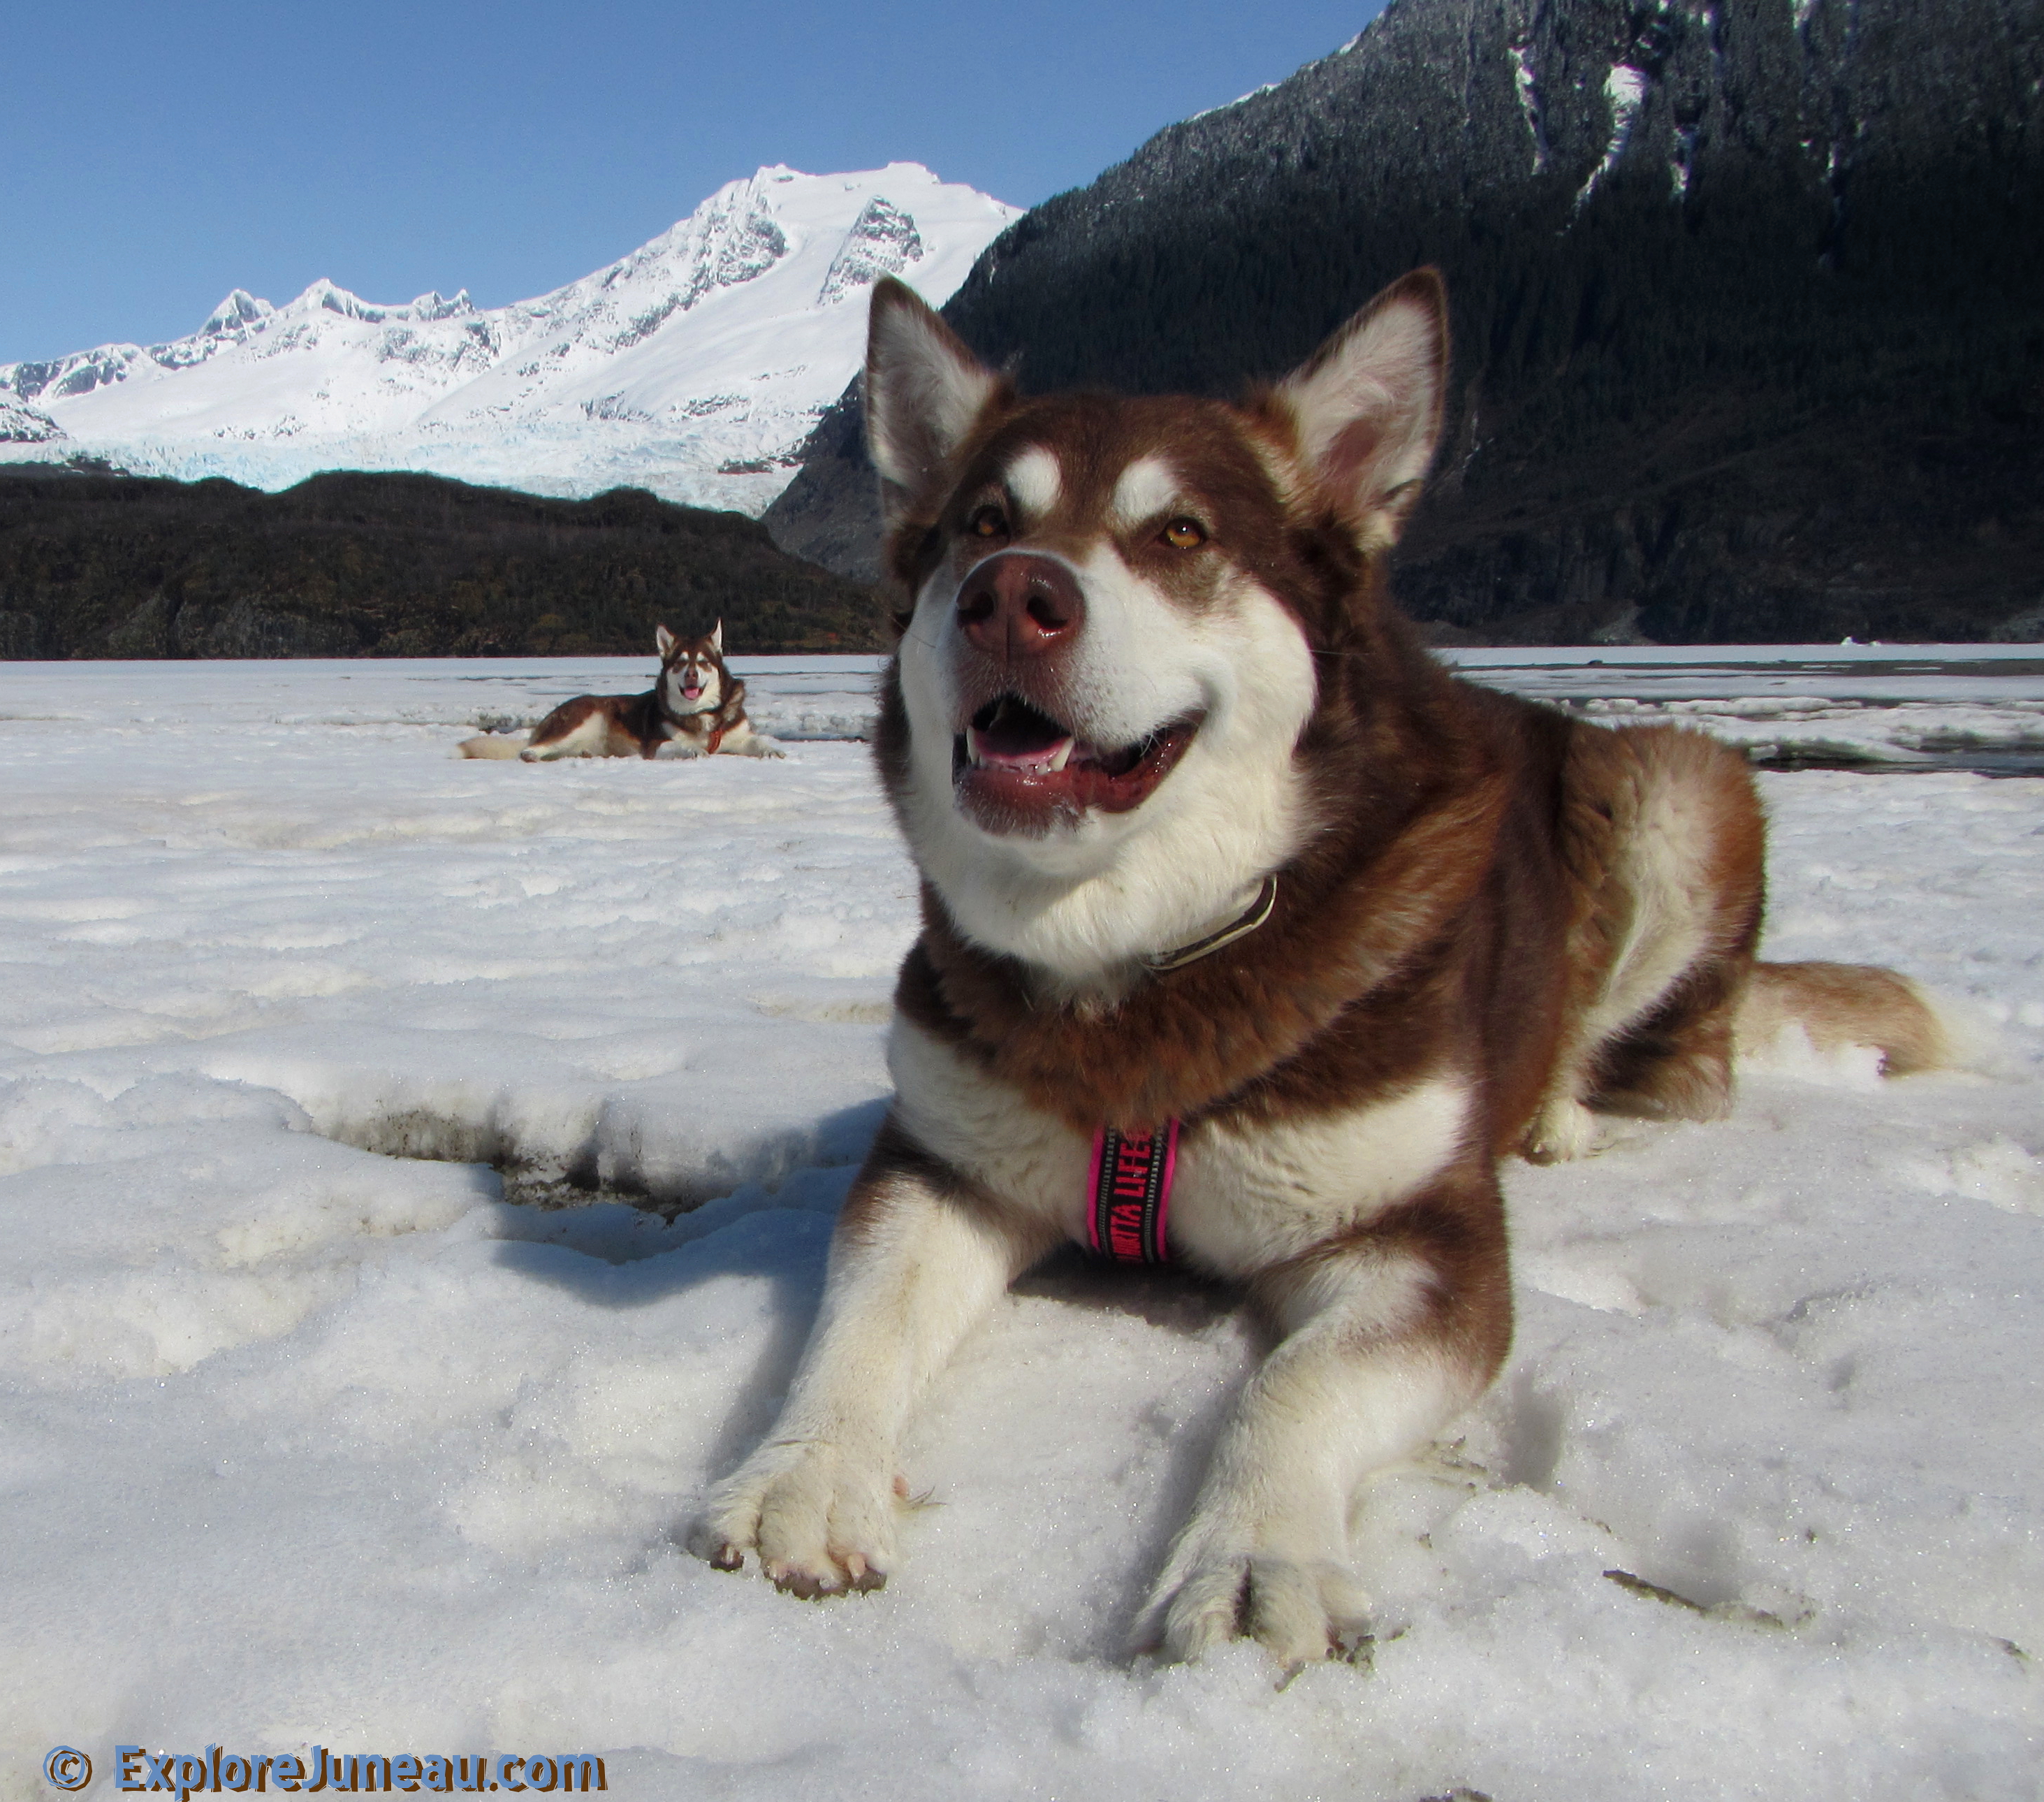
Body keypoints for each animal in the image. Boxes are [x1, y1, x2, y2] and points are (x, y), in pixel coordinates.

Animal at [462, 618, 780, 760]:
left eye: (702, 662)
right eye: (680, 663)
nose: (691, 674)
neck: (702, 715)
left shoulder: (739, 736)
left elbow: (757, 741)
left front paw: (772, 750)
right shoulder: (654, 745)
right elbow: (680, 744)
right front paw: (693, 749)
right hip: (582, 719)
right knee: (529, 751)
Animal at [694, 268, 1954, 1661]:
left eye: (1179, 532)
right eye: (983, 522)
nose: (1011, 595)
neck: (1142, 958)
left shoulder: (1419, 1230)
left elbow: (1297, 1382)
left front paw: (1255, 1551)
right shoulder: (944, 1160)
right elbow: (859, 1319)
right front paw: (808, 1473)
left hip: (1680, 786)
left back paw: (1560, 1108)